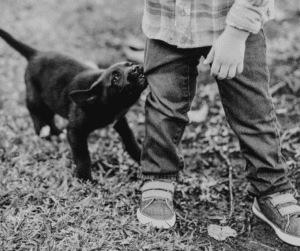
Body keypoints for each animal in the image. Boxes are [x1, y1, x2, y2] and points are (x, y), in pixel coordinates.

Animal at [0, 29, 148, 181]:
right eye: (116, 77)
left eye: (130, 64)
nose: (136, 68)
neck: (106, 105)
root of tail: (36, 53)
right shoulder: (75, 131)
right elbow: (83, 157)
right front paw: (85, 179)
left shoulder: (120, 121)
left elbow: (130, 140)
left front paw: (140, 157)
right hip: (36, 99)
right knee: (36, 115)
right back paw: (45, 133)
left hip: (49, 100)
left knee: (49, 117)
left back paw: (56, 133)